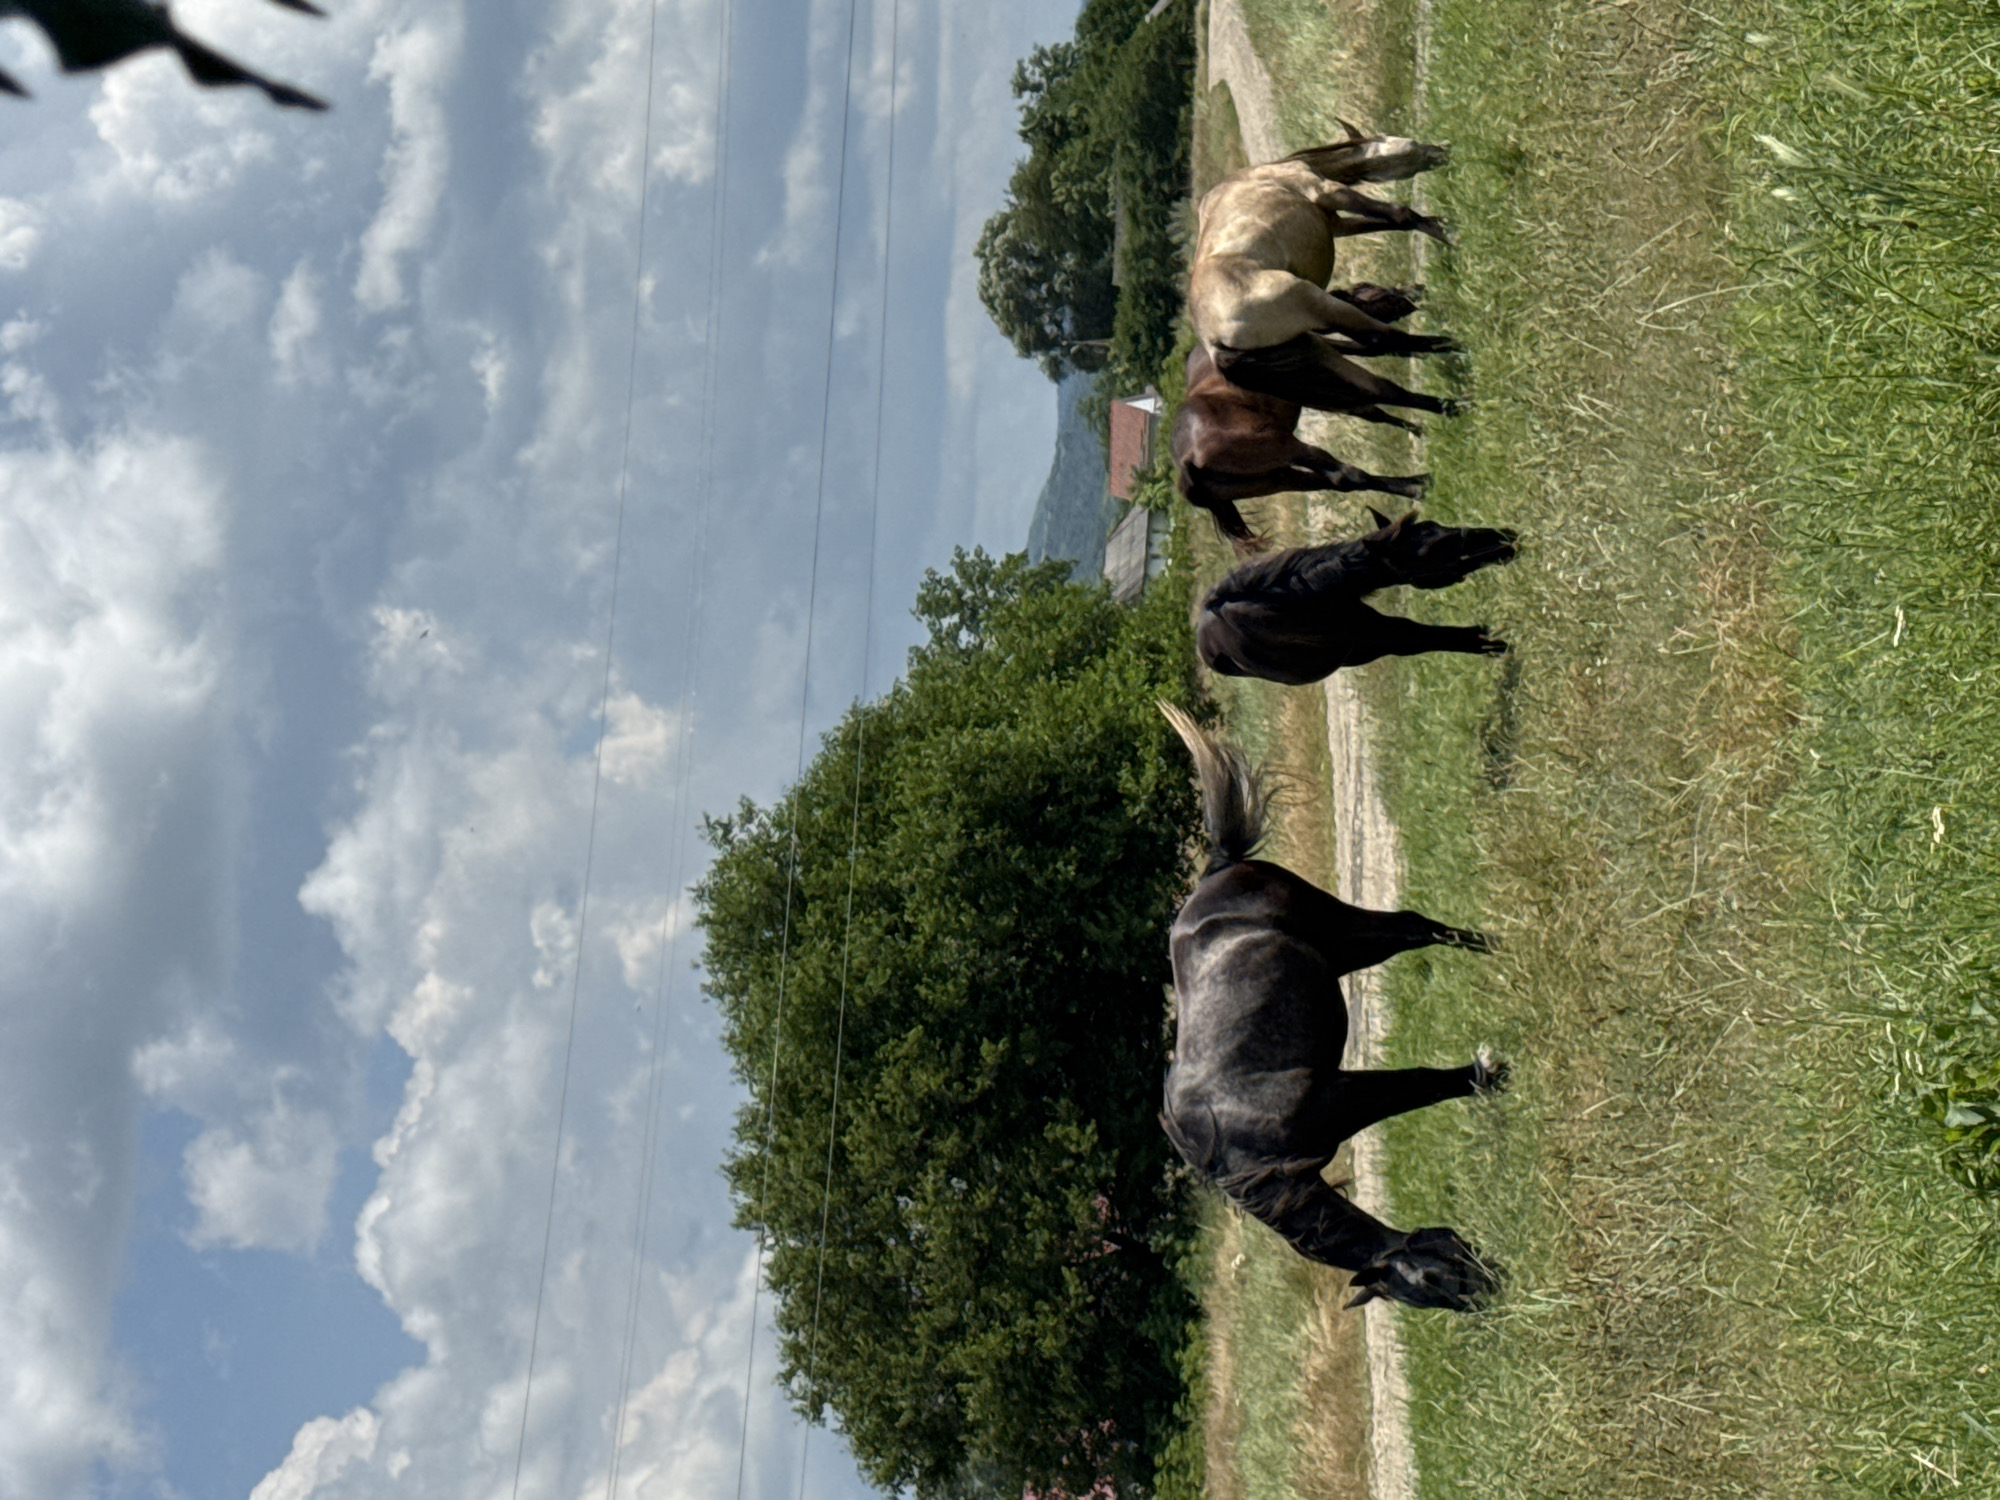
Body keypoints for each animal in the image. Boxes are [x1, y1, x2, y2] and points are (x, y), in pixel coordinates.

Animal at [1157, 702, 1504, 1310]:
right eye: (1427, 1285)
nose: (1495, 1289)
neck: (1241, 1146)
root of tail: (1218, 871)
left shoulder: (1345, 1095)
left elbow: (1420, 1083)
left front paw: (1486, 1071)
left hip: (1346, 932)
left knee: (1414, 928)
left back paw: (1499, 945)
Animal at [1174, 287, 1432, 548]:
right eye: (1379, 294)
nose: (1414, 295)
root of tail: (1187, 461)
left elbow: (1373, 412)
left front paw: (1419, 428)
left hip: (1279, 479)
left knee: (1333, 482)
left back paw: (1419, 480)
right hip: (1288, 448)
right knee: (1345, 474)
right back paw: (1419, 486)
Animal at [1188, 133, 1461, 426]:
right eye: (1411, 144)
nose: (1442, 150)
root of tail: (1213, 343)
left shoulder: (1337, 224)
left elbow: (1395, 222)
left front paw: (1444, 227)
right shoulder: (1328, 191)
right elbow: (1401, 215)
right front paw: (1448, 235)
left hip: (1311, 350)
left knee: (1380, 387)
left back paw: (1453, 403)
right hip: (1323, 306)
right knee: (1384, 339)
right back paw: (1454, 346)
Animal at [1196, 509, 1518, 684]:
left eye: (1436, 525)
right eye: (1430, 551)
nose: (1505, 540)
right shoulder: (1381, 638)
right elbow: (1427, 637)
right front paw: (1490, 643)